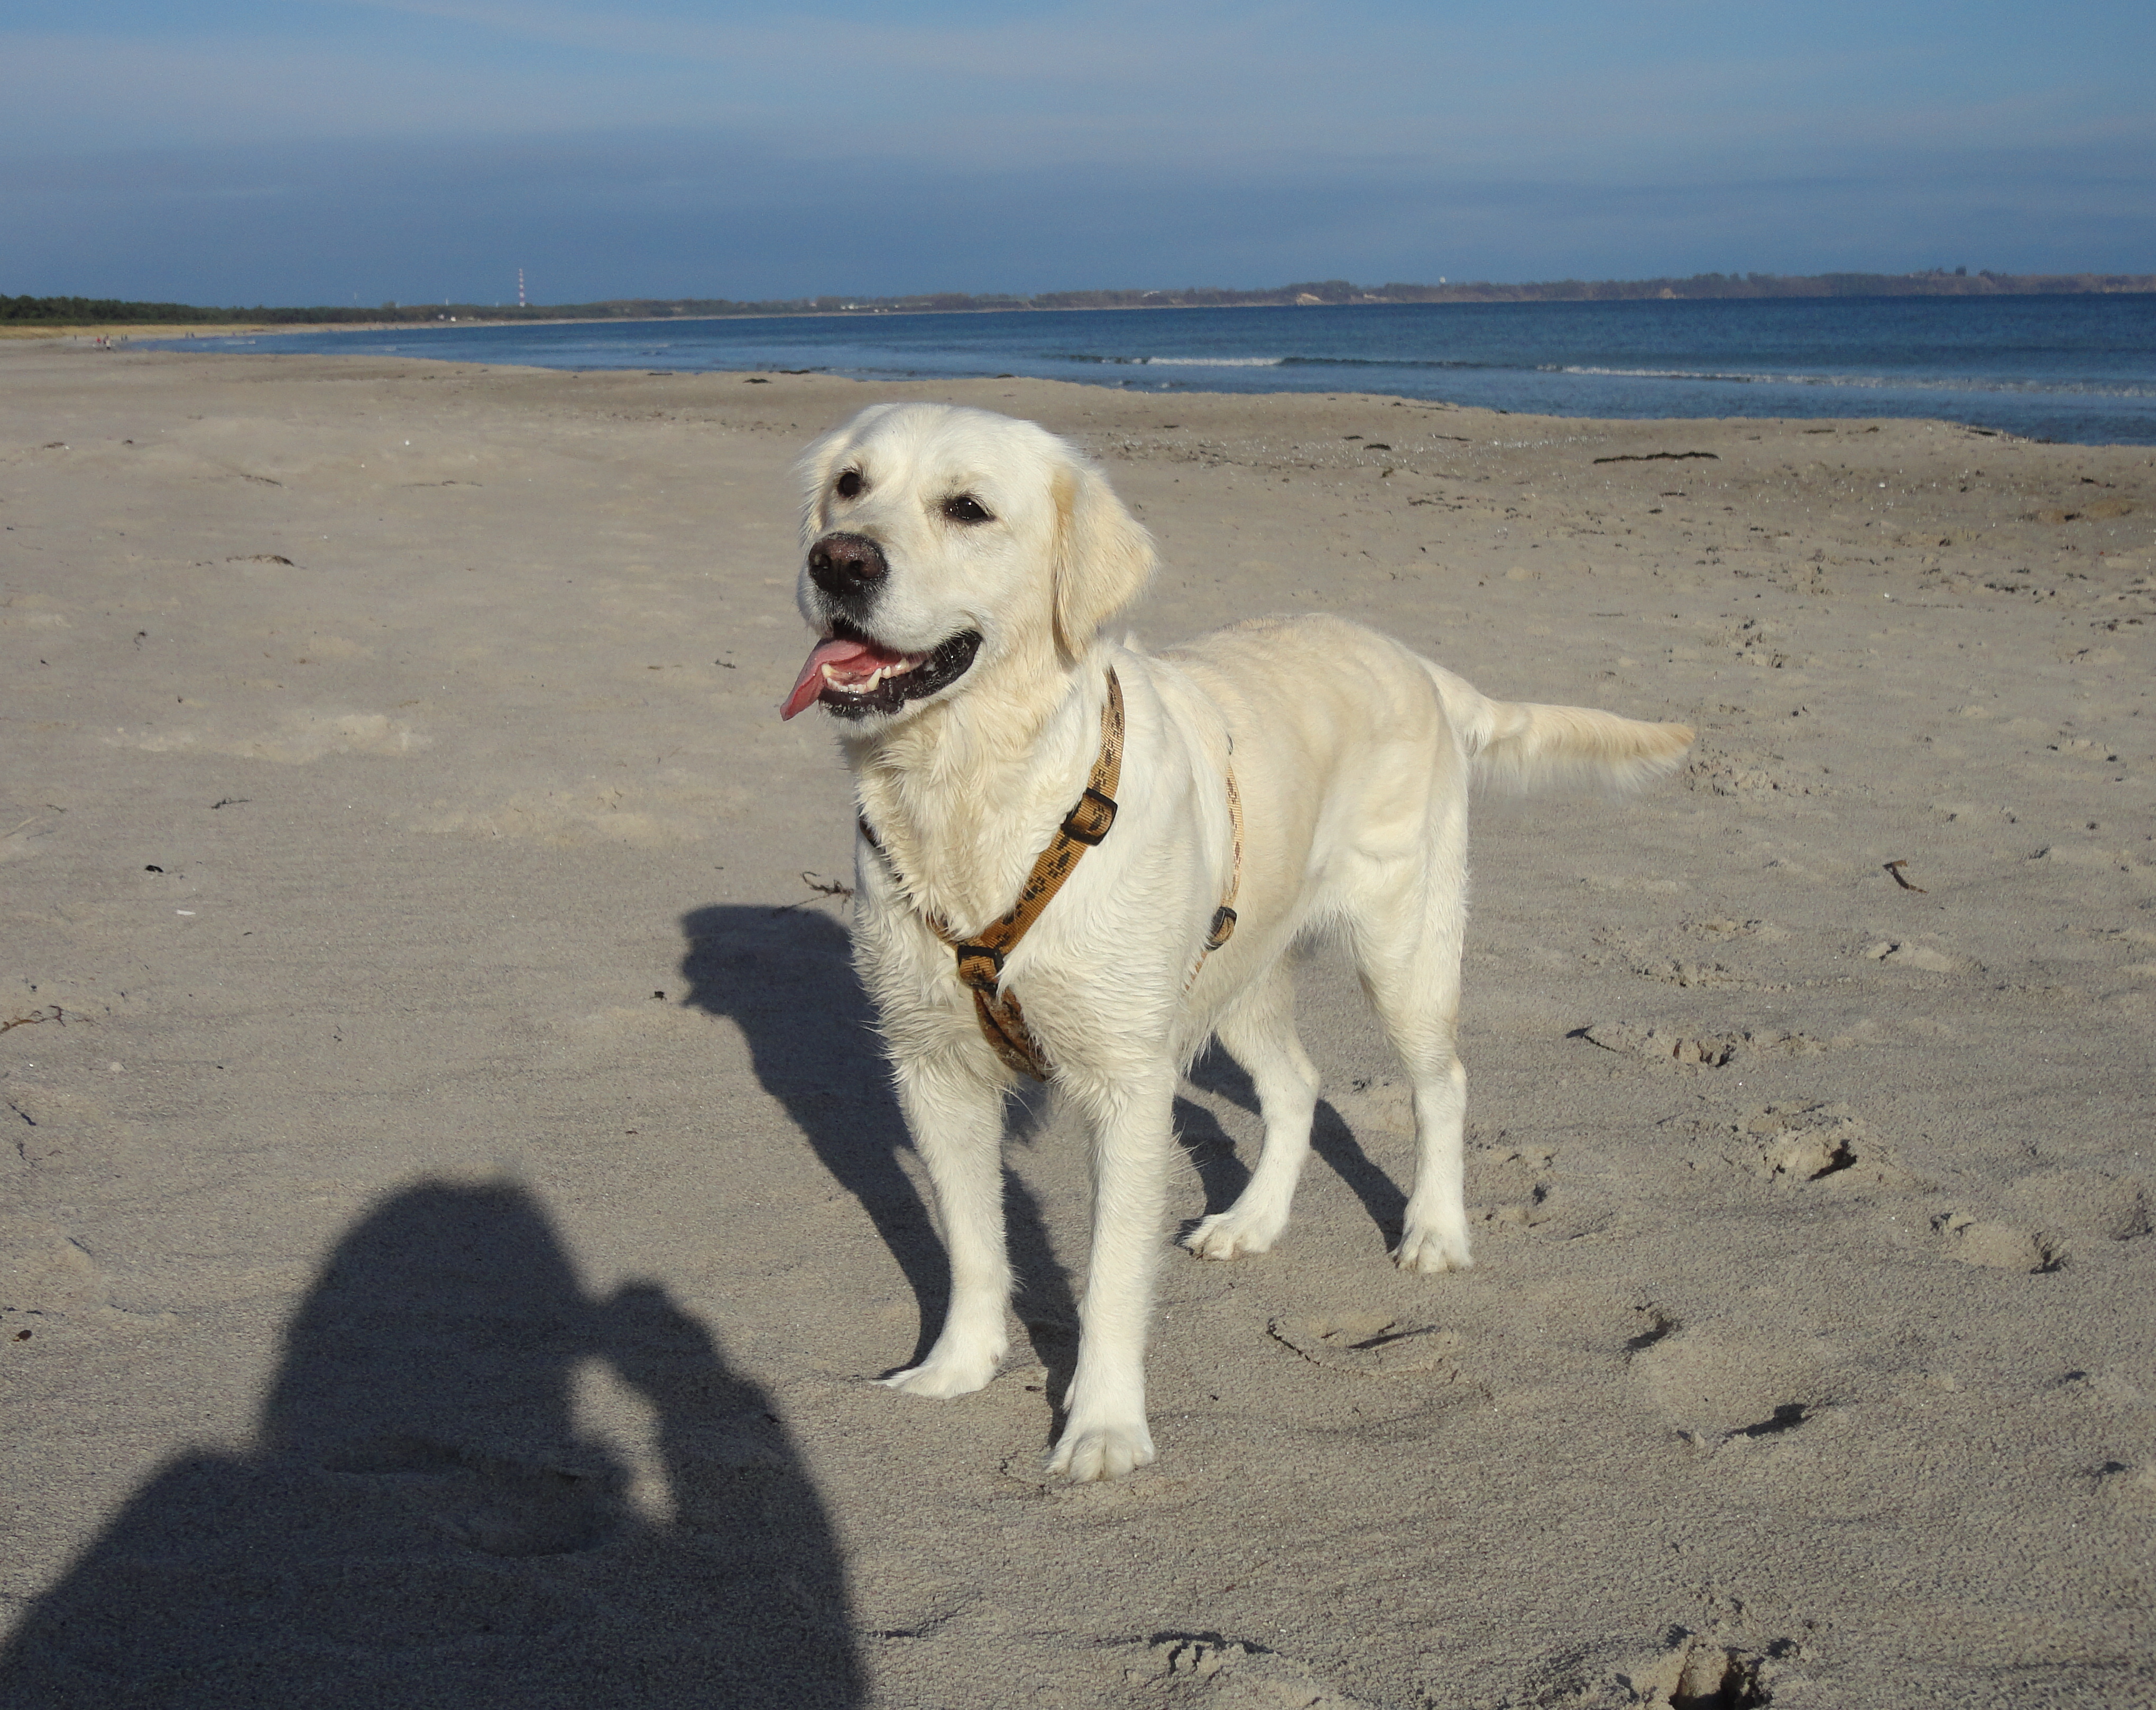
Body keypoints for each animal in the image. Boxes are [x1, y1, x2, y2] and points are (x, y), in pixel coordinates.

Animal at [785, 403, 1690, 1483]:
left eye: (967, 508)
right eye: (849, 484)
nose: (837, 560)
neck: (973, 791)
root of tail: (1418, 664)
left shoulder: (1125, 1084)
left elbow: (1109, 1276)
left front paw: (1103, 1427)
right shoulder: (931, 1065)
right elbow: (970, 1243)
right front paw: (955, 1367)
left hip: (1402, 949)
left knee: (1441, 1084)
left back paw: (1434, 1230)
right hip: (1238, 976)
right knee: (1298, 1084)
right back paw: (1252, 1221)